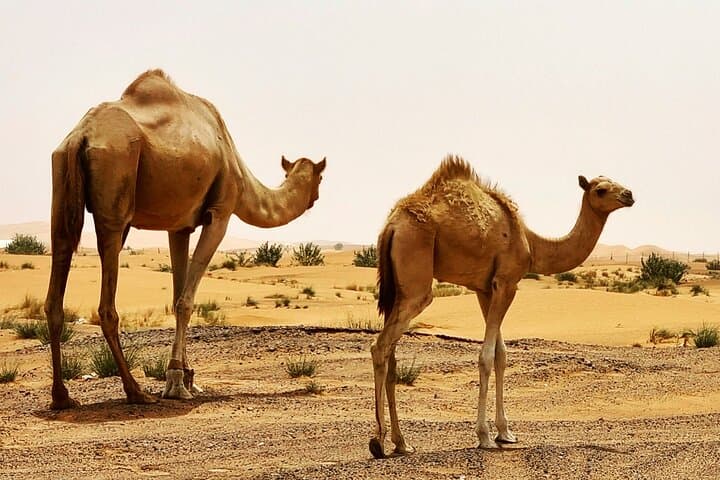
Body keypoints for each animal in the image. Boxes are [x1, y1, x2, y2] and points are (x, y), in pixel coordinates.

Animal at [44, 69, 326, 409]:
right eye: (320, 177)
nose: (316, 198)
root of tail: (80, 136)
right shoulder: (219, 213)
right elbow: (186, 300)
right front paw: (177, 381)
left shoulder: (178, 226)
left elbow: (178, 293)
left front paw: (187, 376)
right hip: (116, 191)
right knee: (106, 305)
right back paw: (135, 391)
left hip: (60, 187)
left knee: (56, 279)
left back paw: (62, 396)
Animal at [369, 155, 634, 458]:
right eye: (601, 190)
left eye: (615, 182)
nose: (629, 194)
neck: (531, 243)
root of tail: (391, 227)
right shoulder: (506, 282)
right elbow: (486, 356)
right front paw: (484, 436)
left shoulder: (485, 289)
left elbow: (501, 355)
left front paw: (505, 432)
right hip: (417, 276)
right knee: (381, 345)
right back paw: (378, 441)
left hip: (398, 289)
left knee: (391, 353)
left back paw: (402, 443)